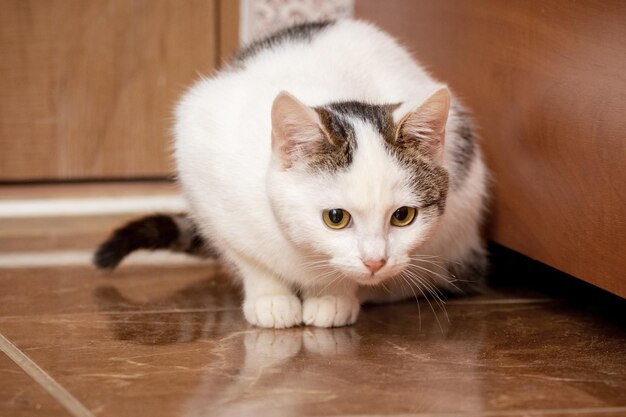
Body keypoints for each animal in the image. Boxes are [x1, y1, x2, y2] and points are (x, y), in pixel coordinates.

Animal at [95, 18, 490, 328]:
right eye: (336, 217)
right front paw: (271, 298)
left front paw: (333, 296)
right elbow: (247, 255)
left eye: (403, 216)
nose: (375, 262)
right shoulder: (201, 167)